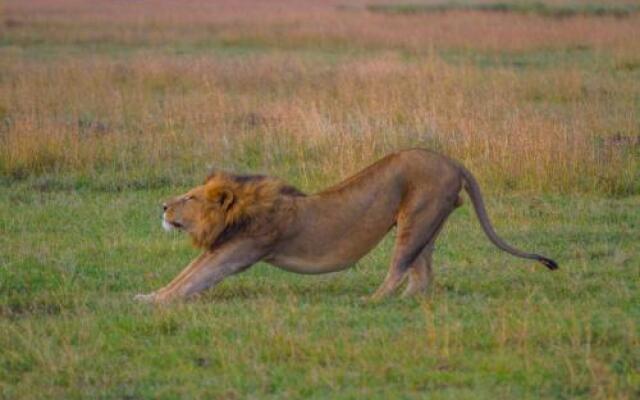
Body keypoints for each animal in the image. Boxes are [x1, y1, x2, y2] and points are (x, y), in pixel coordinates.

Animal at [134, 149, 556, 304]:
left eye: (189, 197)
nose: (163, 206)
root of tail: (451, 160)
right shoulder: (222, 248)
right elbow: (182, 275)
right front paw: (148, 295)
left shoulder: (237, 252)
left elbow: (193, 279)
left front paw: (155, 303)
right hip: (428, 223)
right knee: (422, 275)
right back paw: (405, 300)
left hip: (414, 219)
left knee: (400, 268)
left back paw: (372, 300)